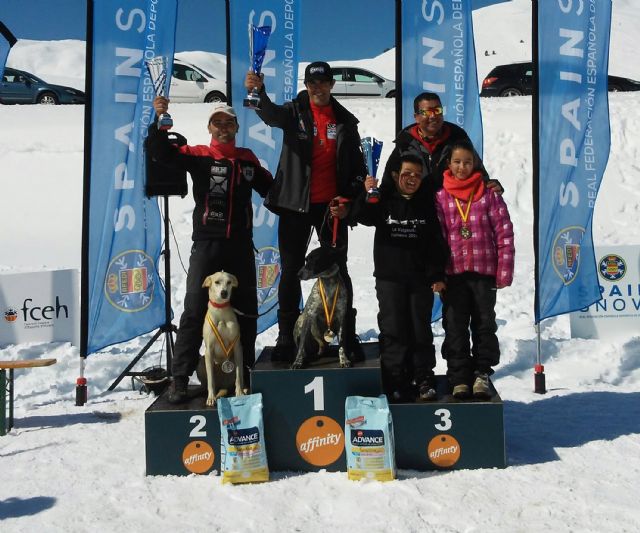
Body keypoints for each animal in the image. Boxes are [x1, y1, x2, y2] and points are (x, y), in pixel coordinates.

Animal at [201, 272, 244, 406]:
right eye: (217, 282)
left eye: (229, 282)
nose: (224, 292)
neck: (220, 311)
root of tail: (223, 386)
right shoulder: (209, 350)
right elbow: (210, 379)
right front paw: (211, 397)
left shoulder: (237, 347)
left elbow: (239, 374)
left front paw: (240, 392)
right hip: (202, 361)